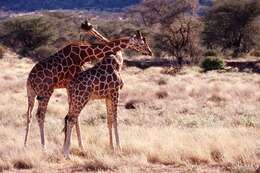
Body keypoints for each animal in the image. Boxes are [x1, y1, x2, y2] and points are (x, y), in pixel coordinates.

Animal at [23, 26, 152, 148]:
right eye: (142, 42)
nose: (150, 52)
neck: (84, 54)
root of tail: (30, 78)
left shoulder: (69, 86)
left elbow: (73, 116)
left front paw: (76, 144)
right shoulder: (72, 83)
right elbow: (74, 117)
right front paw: (78, 145)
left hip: (31, 93)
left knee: (29, 114)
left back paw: (25, 144)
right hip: (46, 91)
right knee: (40, 115)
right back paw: (44, 147)